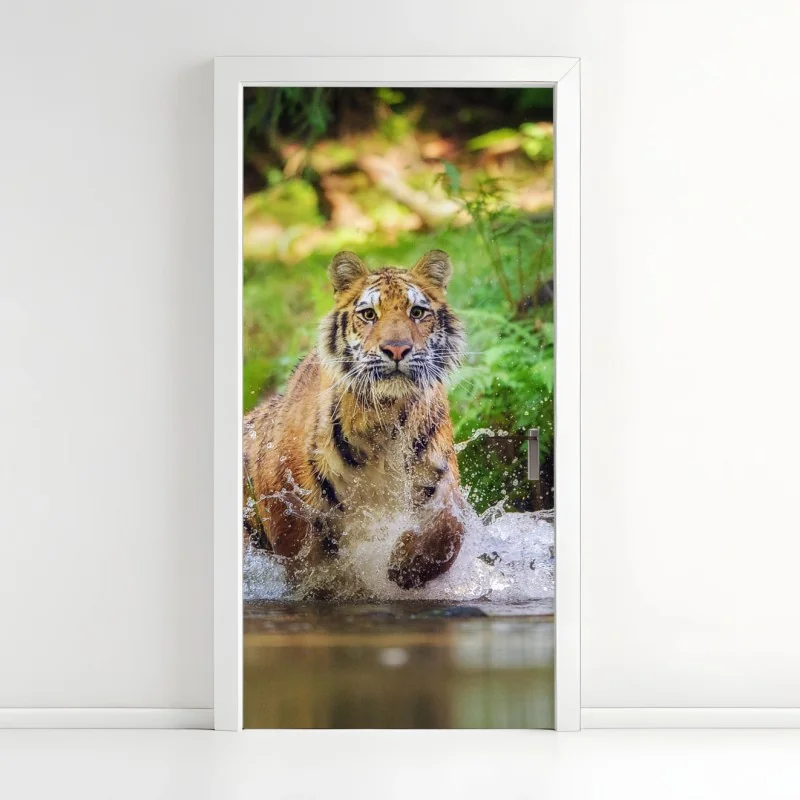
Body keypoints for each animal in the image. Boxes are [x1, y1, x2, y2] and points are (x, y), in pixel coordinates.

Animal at [243, 249, 467, 593]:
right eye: (369, 314)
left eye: (417, 312)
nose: (397, 349)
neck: (385, 418)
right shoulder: (284, 497)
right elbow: (307, 558)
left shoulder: (439, 477)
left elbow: (449, 529)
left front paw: (405, 566)